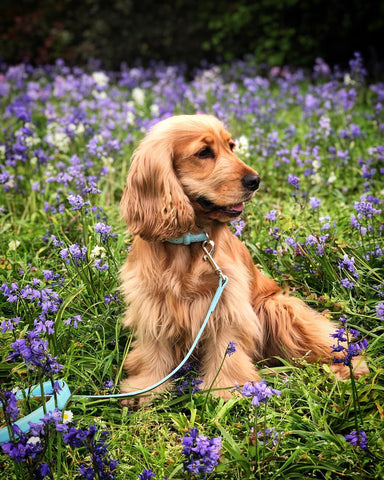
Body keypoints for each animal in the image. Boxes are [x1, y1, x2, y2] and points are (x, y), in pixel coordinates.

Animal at [118, 113, 368, 402]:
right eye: (204, 152)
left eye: (231, 146)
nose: (255, 180)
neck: (188, 242)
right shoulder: (152, 302)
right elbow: (154, 350)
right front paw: (146, 388)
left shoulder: (226, 301)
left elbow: (227, 349)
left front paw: (225, 390)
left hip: (279, 308)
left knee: (330, 343)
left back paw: (350, 368)